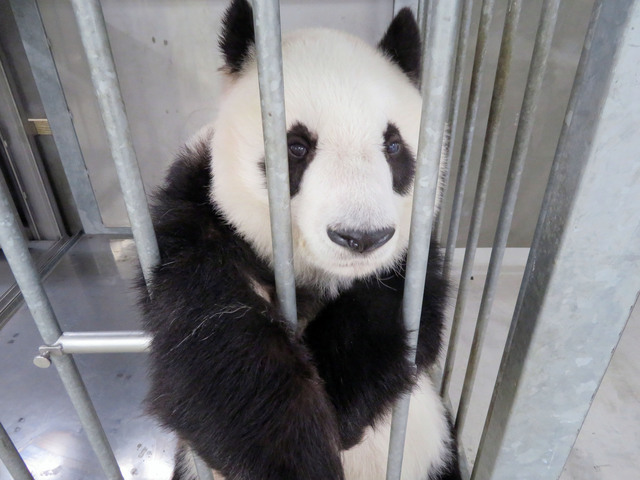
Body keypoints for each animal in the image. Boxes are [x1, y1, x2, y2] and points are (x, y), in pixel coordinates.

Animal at [140, 0, 460, 480]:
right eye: (296, 147)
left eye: (393, 147)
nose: (361, 237)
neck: (314, 273)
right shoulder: (197, 223)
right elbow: (215, 347)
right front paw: (300, 455)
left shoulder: (412, 258)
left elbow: (401, 314)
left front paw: (340, 411)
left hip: (437, 452)